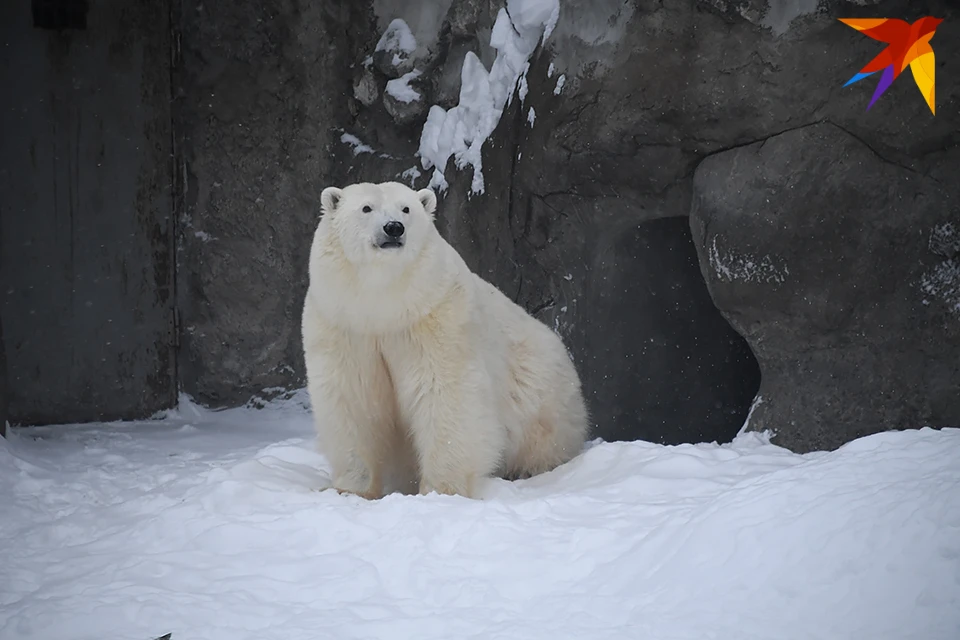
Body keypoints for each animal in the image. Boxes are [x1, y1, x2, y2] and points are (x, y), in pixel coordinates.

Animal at [300, 181, 588, 500]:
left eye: (406, 208)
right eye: (366, 208)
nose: (394, 228)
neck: (385, 307)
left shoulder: (435, 313)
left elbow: (444, 391)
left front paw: (441, 490)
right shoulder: (345, 324)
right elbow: (353, 397)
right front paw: (348, 489)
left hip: (539, 386)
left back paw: (527, 469)